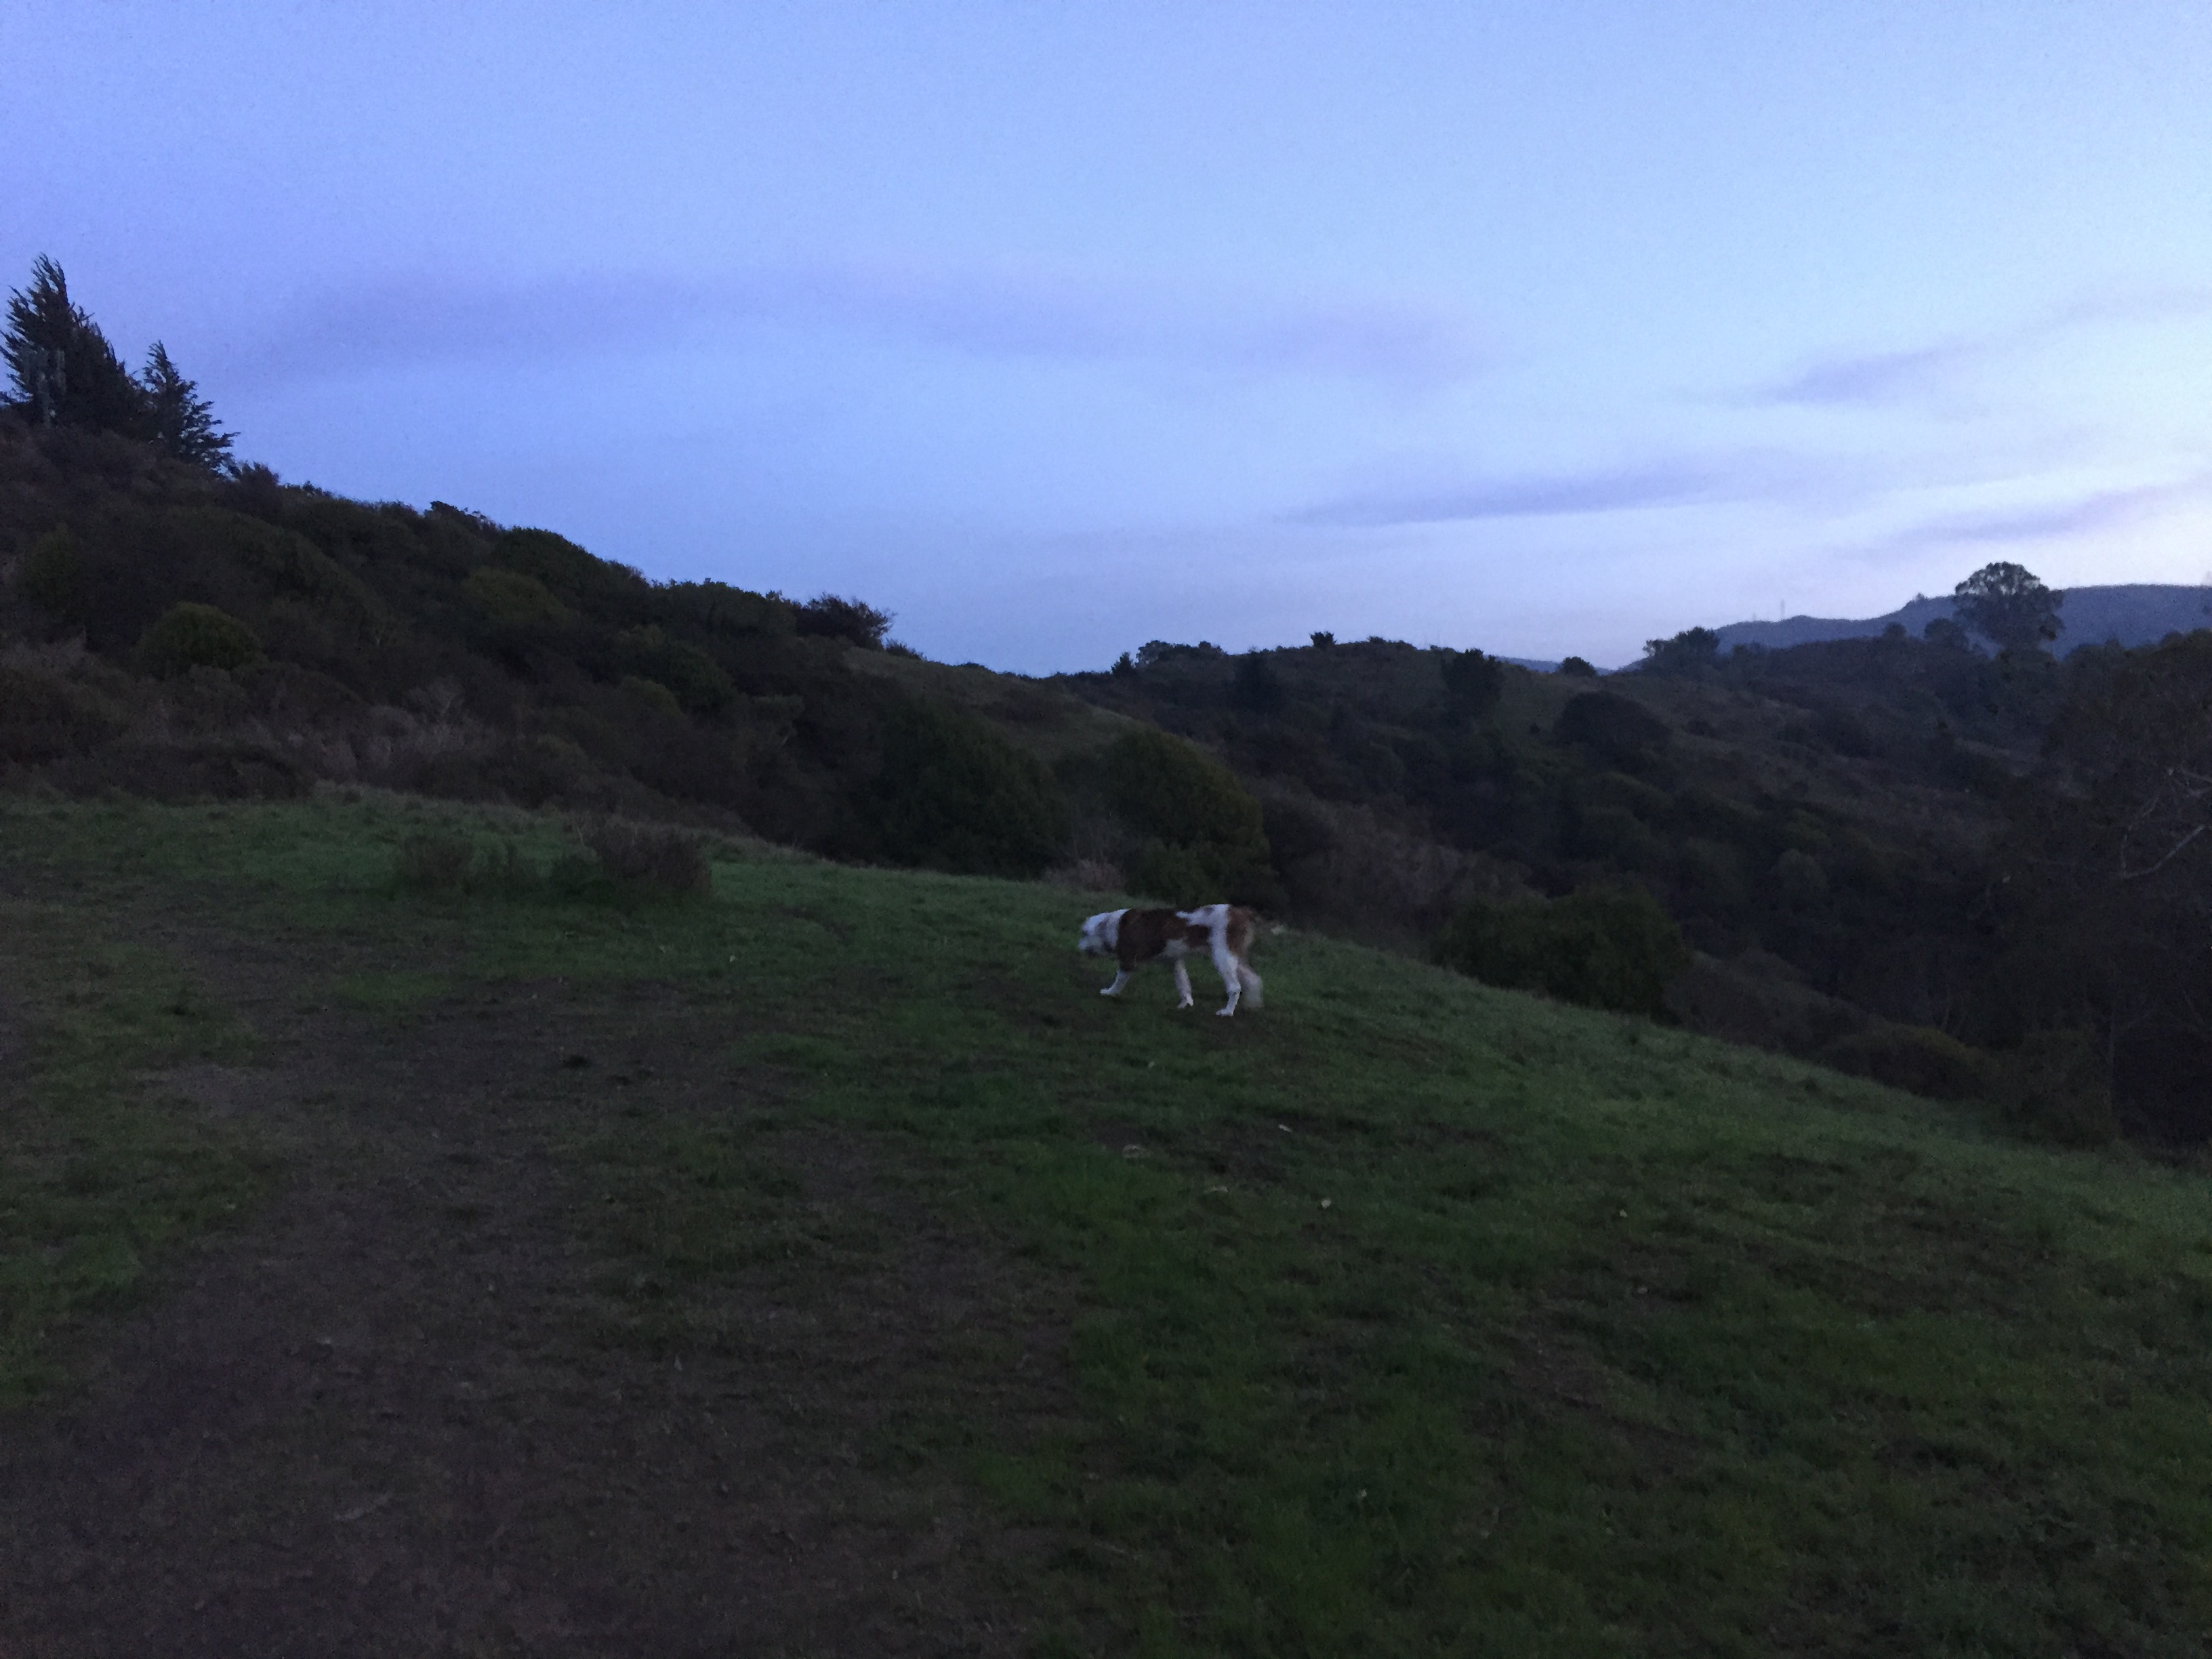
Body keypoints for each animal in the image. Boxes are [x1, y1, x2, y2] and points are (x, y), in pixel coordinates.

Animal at [1077, 903, 1263, 1016]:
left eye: (1085, 934)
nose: (1078, 947)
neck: (1114, 926)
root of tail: (1244, 912)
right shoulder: (1174, 962)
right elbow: (1183, 984)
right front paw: (1186, 1004)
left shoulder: (1129, 960)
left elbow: (1119, 980)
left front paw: (1109, 993)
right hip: (1235, 958)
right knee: (1254, 980)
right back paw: (1251, 1005)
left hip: (1222, 956)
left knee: (1235, 987)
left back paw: (1227, 1012)